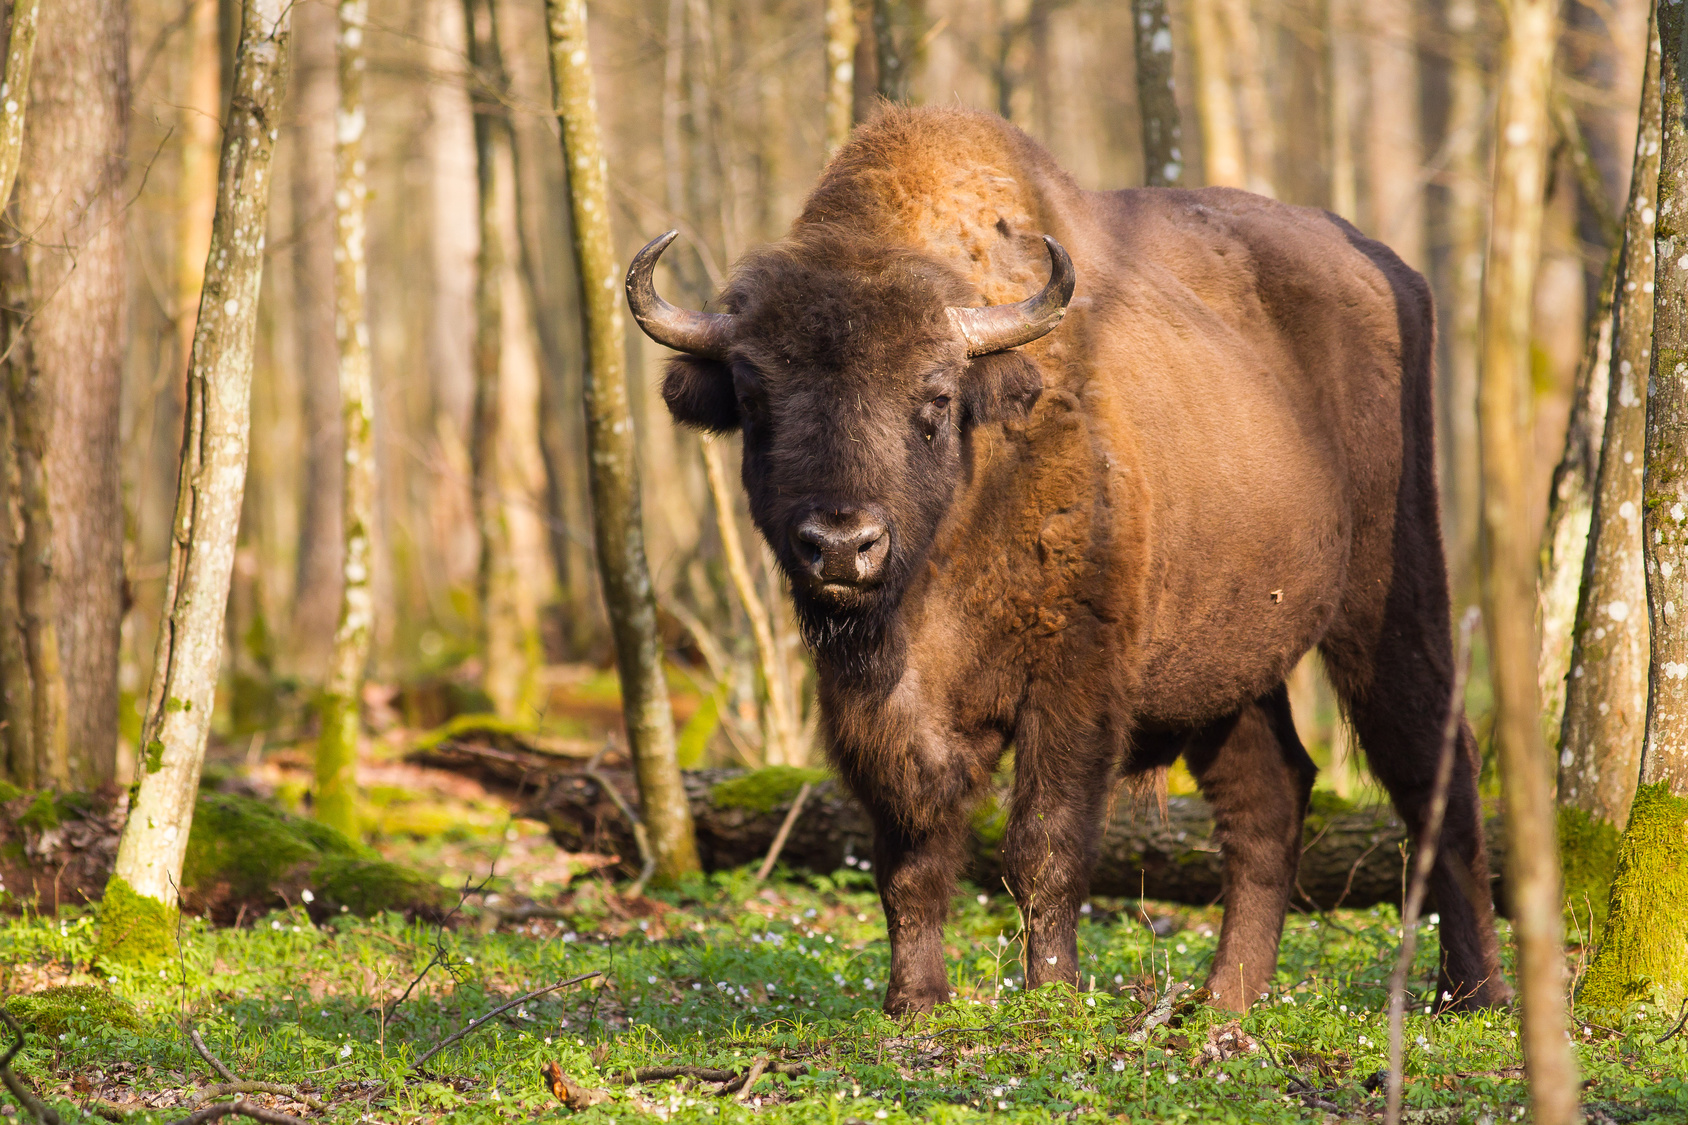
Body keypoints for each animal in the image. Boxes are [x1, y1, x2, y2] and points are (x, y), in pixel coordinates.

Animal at [624, 105, 1505, 1013]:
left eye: (934, 398)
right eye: (755, 398)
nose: (842, 544)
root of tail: (1386, 269)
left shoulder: (1076, 679)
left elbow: (1043, 846)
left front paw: (1053, 995)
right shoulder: (873, 710)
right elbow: (910, 854)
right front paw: (916, 1000)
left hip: (1391, 596)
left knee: (1434, 770)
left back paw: (1471, 991)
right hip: (1228, 666)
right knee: (1272, 796)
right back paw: (1225, 998)